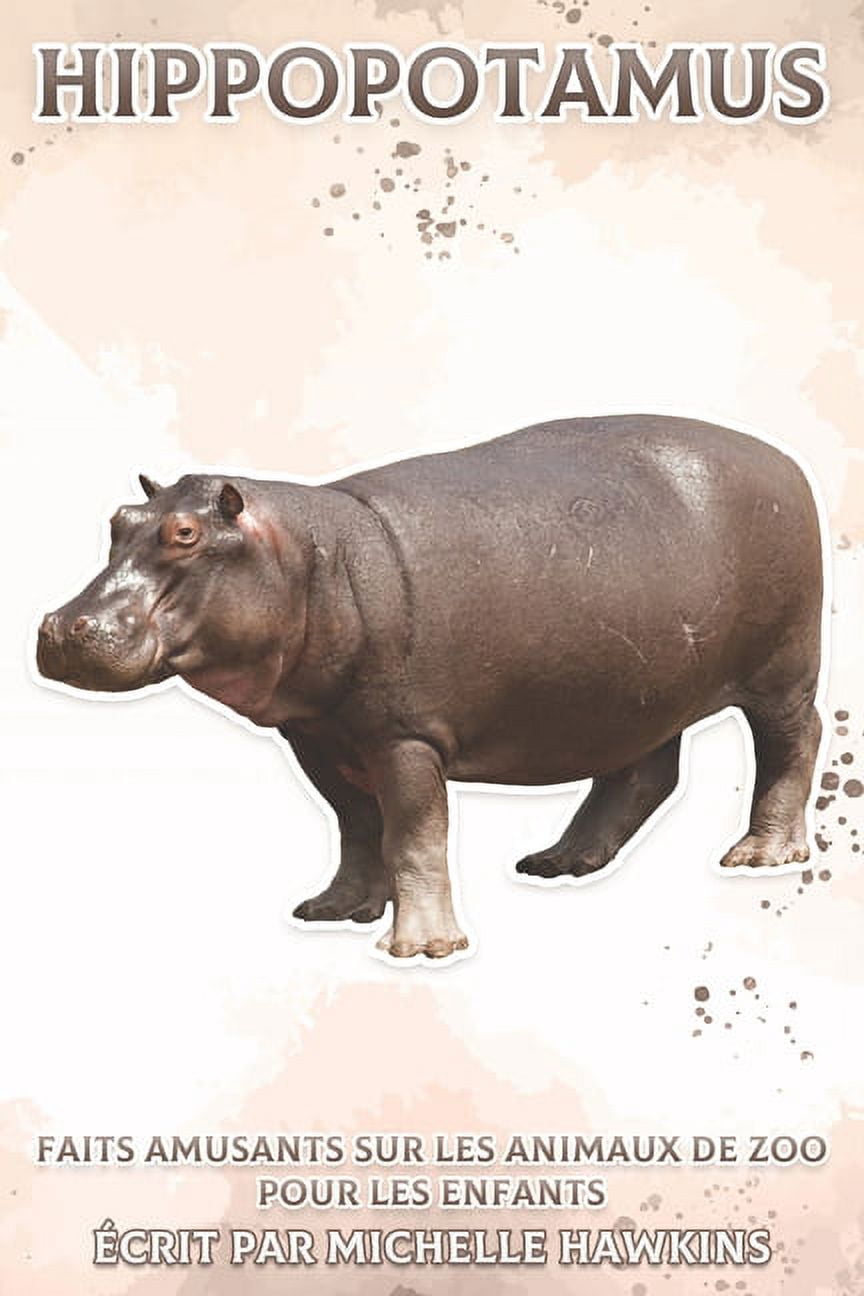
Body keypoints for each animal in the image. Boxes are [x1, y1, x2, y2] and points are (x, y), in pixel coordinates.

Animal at [37, 415, 825, 960]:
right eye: (118, 521)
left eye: (185, 535)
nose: (64, 627)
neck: (309, 556)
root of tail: (786, 459)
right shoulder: (316, 733)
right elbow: (358, 827)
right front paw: (332, 910)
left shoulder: (403, 735)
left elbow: (415, 836)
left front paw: (421, 949)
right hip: (635, 689)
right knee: (644, 771)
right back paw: (560, 863)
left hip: (780, 670)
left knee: (794, 741)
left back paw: (761, 856)